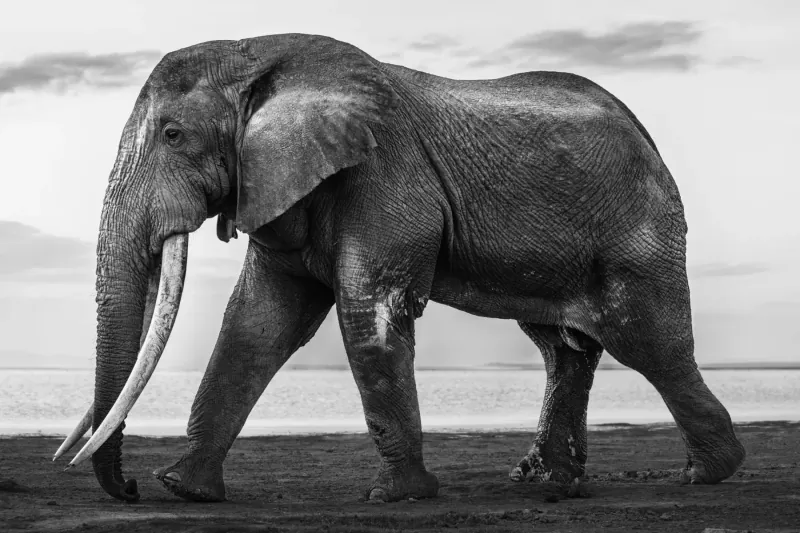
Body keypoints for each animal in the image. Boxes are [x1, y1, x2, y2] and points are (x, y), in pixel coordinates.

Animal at [54, 33, 745, 503]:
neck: (259, 53)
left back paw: (709, 473)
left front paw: (399, 496)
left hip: (638, 231)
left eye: (173, 135)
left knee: (647, 341)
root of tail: (646, 136)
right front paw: (185, 490)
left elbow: (367, 312)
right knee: (562, 348)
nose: (131, 489)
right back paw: (547, 482)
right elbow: (257, 323)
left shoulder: (384, 172)